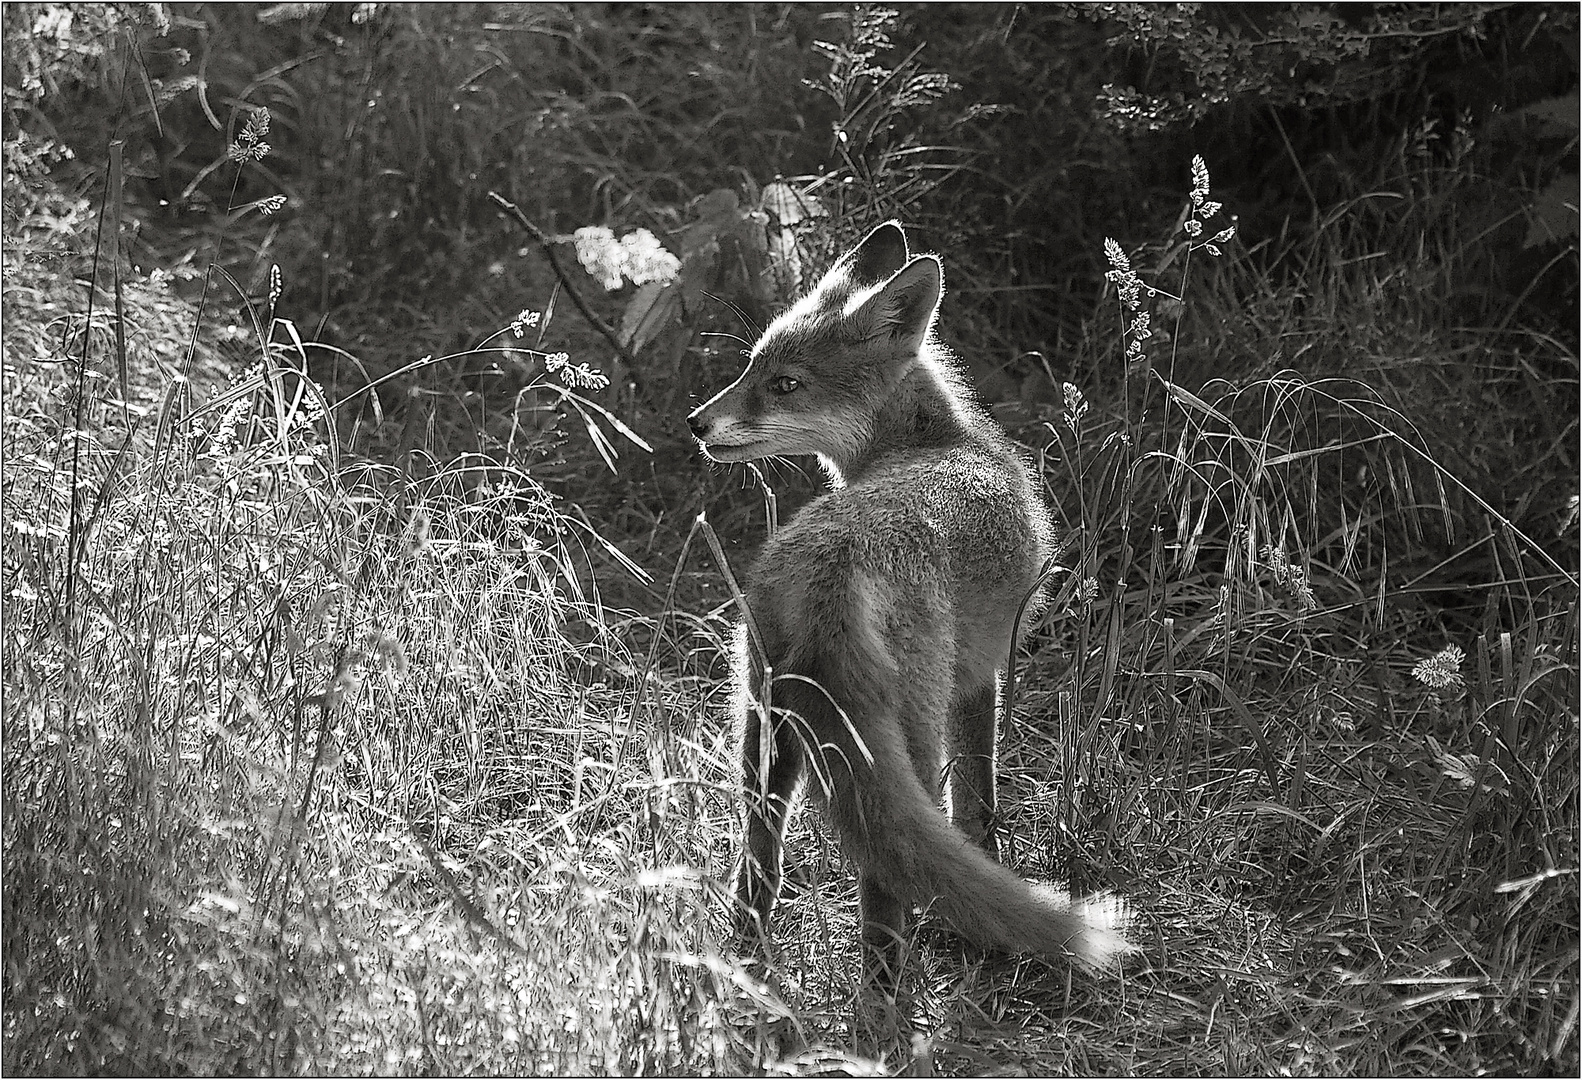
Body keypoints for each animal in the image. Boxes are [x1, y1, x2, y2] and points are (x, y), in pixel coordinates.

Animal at [686, 221, 1132, 986]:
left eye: (781, 383)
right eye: (753, 371)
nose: (695, 423)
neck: (942, 442)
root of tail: (832, 574)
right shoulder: (984, 671)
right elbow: (977, 804)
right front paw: (988, 874)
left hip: (763, 733)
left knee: (759, 861)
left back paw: (747, 970)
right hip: (907, 735)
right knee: (884, 880)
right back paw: (892, 997)